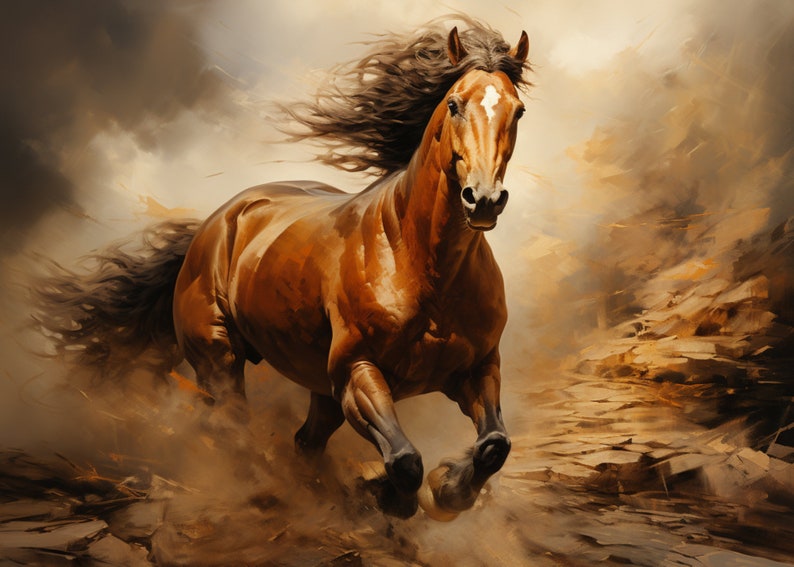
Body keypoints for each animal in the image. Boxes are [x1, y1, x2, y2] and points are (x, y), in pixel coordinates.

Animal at [35, 18, 531, 520]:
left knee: (303, 443)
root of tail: (216, 223)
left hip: (318, 391)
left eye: (519, 110)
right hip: (220, 359)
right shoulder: (356, 372)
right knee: (232, 430)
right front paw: (397, 497)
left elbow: (494, 445)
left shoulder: (478, 368)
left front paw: (448, 491)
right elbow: (405, 459)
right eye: (454, 104)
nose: (483, 200)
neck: (423, 268)